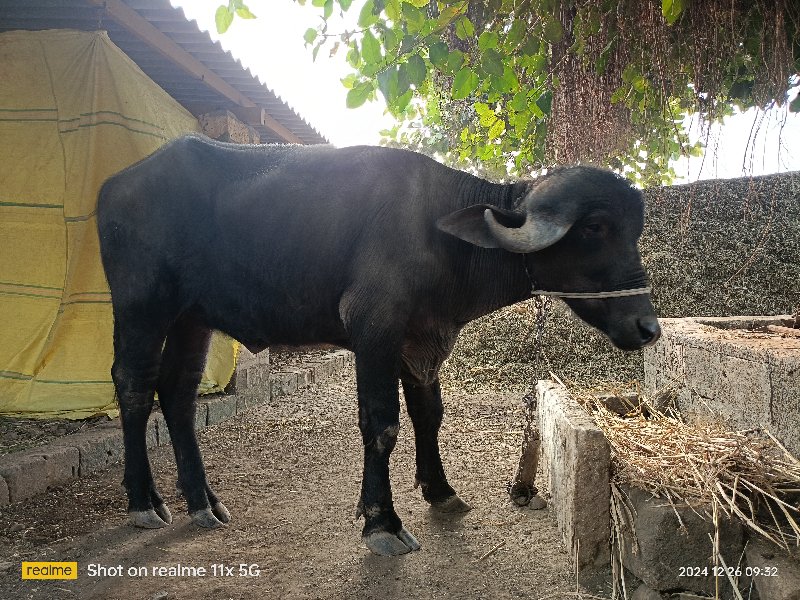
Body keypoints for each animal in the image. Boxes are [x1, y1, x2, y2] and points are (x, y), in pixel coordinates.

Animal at [97, 134, 660, 556]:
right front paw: (382, 522)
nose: (648, 328)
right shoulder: (374, 329)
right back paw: (143, 502)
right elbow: (382, 424)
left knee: (178, 394)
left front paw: (441, 491)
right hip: (142, 306)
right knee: (133, 385)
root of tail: (114, 186)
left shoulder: (422, 342)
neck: (439, 233)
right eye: (596, 227)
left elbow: (429, 415)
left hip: (192, 318)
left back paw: (202, 502)